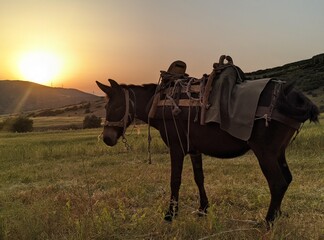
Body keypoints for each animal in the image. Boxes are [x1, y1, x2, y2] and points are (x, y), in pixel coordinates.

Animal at [94, 78, 318, 223]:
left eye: (114, 108)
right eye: (105, 109)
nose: (106, 139)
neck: (160, 103)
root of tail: (292, 95)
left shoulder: (176, 148)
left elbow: (175, 180)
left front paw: (170, 214)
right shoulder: (195, 150)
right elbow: (199, 178)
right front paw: (203, 209)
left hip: (266, 153)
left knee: (277, 183)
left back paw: (268, 221)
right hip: (279, 152)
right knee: (287, 179)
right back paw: (277, 216)